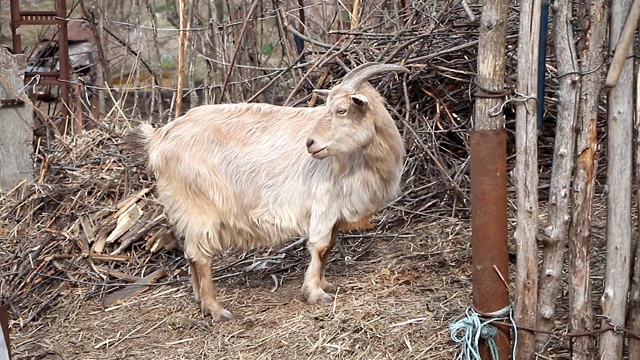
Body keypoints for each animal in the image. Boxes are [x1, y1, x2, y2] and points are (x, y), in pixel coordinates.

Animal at [130, 63, 408, 322]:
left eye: (341, 110)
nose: (311, 144)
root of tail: (159, 138)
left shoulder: (336, 212)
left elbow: (329, 247)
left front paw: (325, 284)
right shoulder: (324, 203)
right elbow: (319, 247)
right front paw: (315, 293)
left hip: (184, 208)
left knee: (190, 253)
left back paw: (200, 300)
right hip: (199, 205)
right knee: (200, 255)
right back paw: (217, 310)